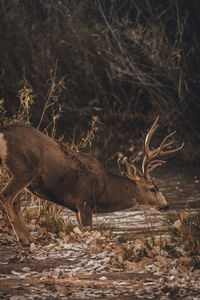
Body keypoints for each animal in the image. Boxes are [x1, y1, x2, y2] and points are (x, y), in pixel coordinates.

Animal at [0, 116, 184, 245]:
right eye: (153, 188)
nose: (166, 205)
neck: (105, 189)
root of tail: (3, 133)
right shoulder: (85, 202)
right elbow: (88, 229)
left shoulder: (76, 208)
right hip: (24, 170)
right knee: (6, 195)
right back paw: (24, 239)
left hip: (15, 172)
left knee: (15, 201)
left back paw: (28, 238)